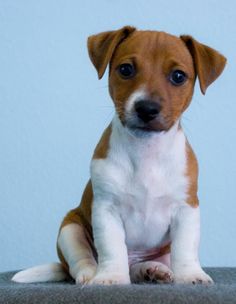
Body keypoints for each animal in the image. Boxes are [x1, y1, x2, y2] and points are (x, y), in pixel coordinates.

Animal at [12, 26, 226, 284]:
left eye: (178, 76)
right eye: (126, 69)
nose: (147, 108)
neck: (146, 152)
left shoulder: (186, 209)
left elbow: (185, 247)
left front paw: (191, 274)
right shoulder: (106, 210)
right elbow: (112, 248)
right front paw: (111, 276)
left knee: (142, 265)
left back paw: (153, 269)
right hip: (70, 229)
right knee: (80, 261)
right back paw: (90, 274)